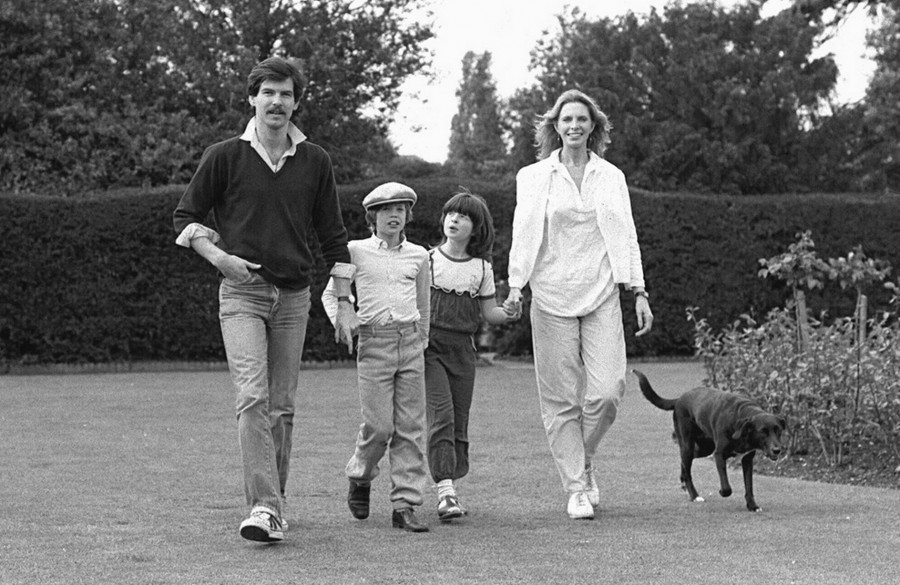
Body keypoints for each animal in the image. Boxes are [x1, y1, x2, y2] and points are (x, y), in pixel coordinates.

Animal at [633, 369, 786, 512]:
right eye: (763, 432)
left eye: (778, 430)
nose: (777, 450)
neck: (740, 418)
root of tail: (679, 399)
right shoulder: (719, 454)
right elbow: (726, 487)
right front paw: (722, 492)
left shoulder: (747, 459)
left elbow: (749, 486)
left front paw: (752, 506)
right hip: (688, 444)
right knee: (688, 470)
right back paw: (695, 496)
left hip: (704, 448)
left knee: (684, 463)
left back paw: (683, 482)